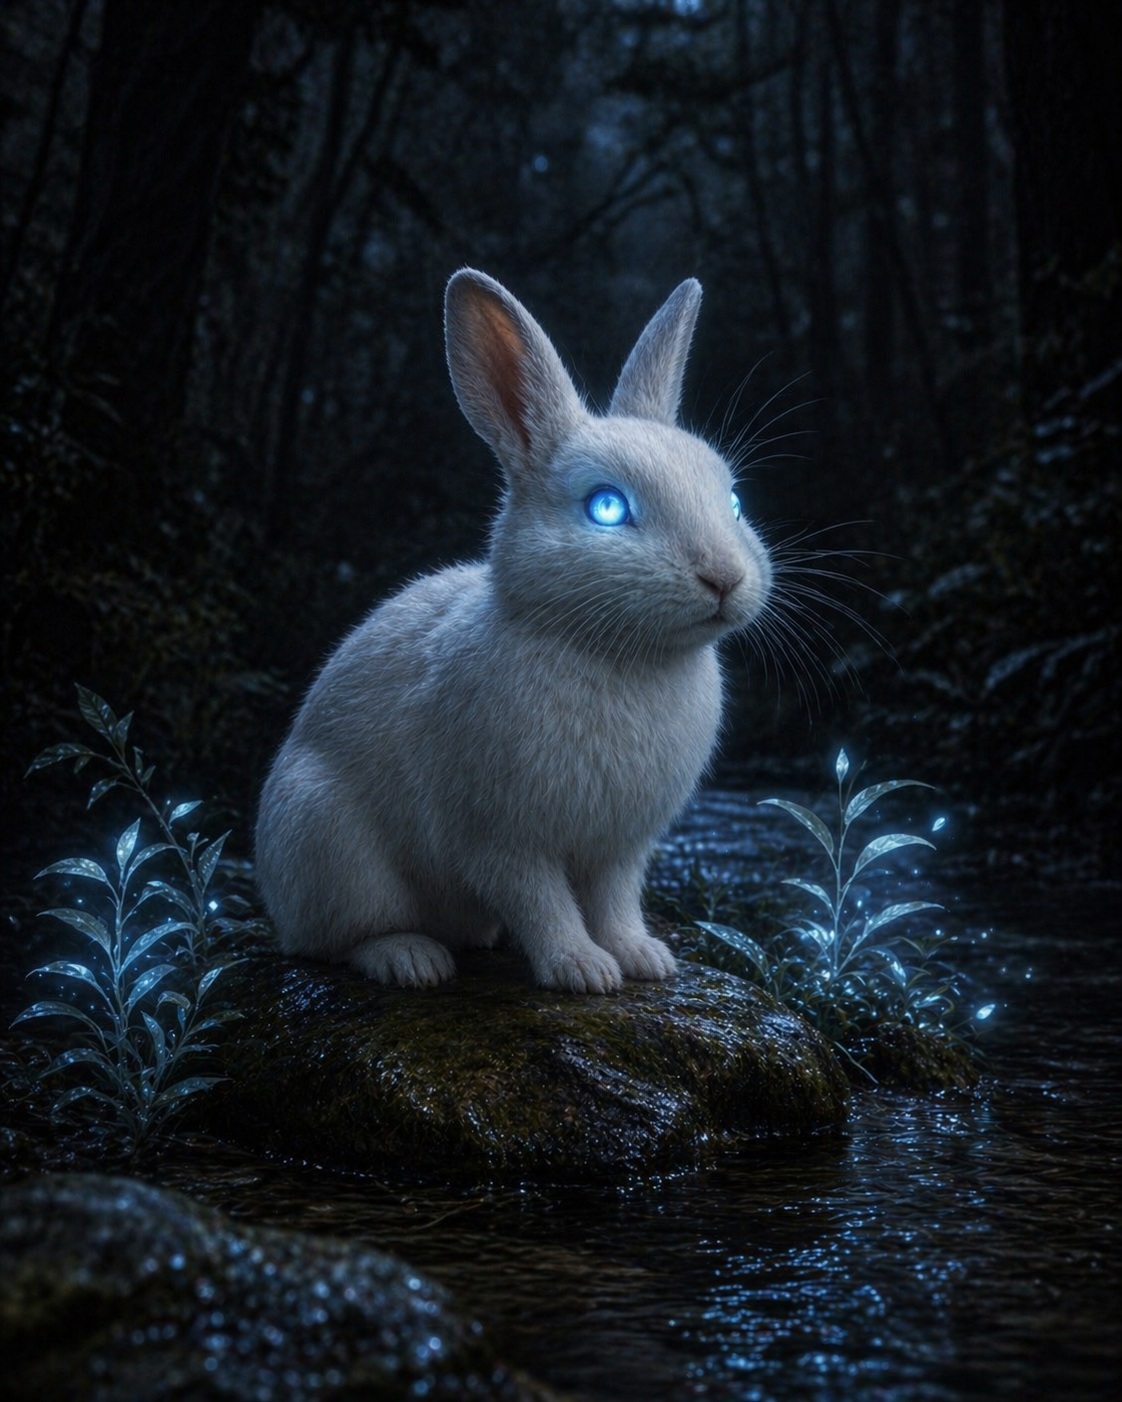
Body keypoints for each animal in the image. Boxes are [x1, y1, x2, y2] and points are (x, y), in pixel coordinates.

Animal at [255, 269, 772, 993]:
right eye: (606, 507)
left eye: (732, 499)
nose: (724, 578)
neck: (614, 651)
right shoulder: (502, 839)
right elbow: (542, 902)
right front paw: (583, 971)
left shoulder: (621, 848)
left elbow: (616, 902)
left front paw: (642, 959)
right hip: (332, 848)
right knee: (333, 941)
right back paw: (412, 960)